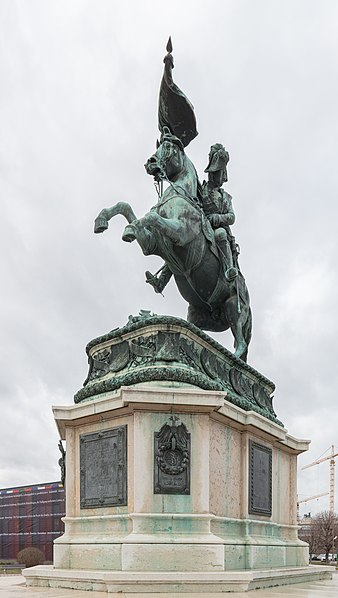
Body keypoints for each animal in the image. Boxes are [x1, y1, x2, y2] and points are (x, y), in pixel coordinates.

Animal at [94, 135, 251, 360]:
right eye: (159, 146)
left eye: (169, 147)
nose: (150, 162)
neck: (180, 194)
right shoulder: (152, 244)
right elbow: (126, 207)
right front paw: (102, 220)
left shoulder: (181, 234)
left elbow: (150, 217)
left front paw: (129, 229)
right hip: (196, 311)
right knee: (196, 328)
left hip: (233, 306)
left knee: (241, 343)